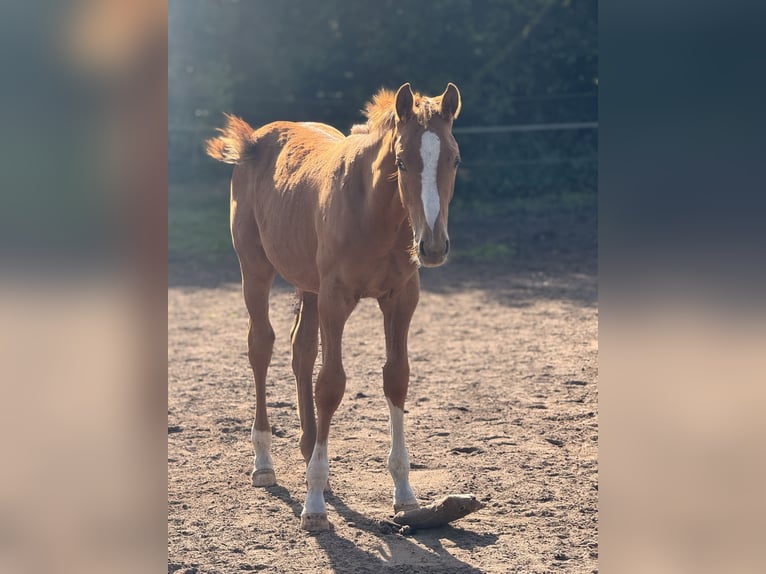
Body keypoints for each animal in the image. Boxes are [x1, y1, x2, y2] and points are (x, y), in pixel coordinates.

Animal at [206, 82, 462, 531]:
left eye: (454, 158)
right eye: (401, 161)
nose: (432, 246)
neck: (375, 213)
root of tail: (255, 137)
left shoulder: (401, 299)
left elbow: (396, 377)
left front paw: (405, 494)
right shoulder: (335, 298)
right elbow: (330, 385)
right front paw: (313, 505)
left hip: (308, 285)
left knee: (301, 350)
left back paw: (310, 452)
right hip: (255, 269)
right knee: (261, 346)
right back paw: (264, 462)